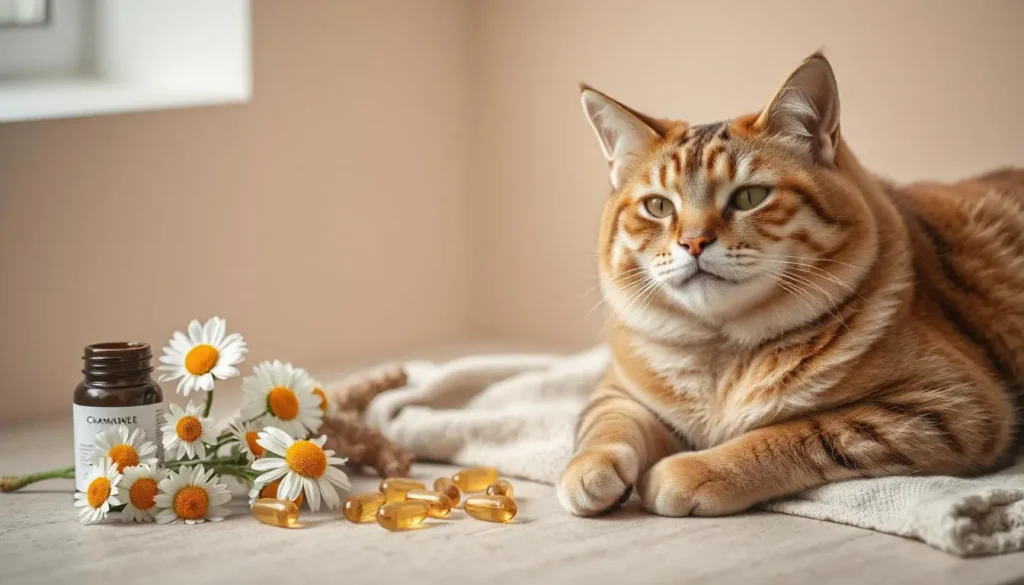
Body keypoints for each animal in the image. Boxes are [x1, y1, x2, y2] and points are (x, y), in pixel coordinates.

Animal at [561, 51, 1024, 516]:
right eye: (657, 206)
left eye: (749, 197)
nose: (693, 242)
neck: (722, 353)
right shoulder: (620, 386)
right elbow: (607, 421)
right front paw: (587, 469)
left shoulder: (950, 405)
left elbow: (792, 433)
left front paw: (693, 470)